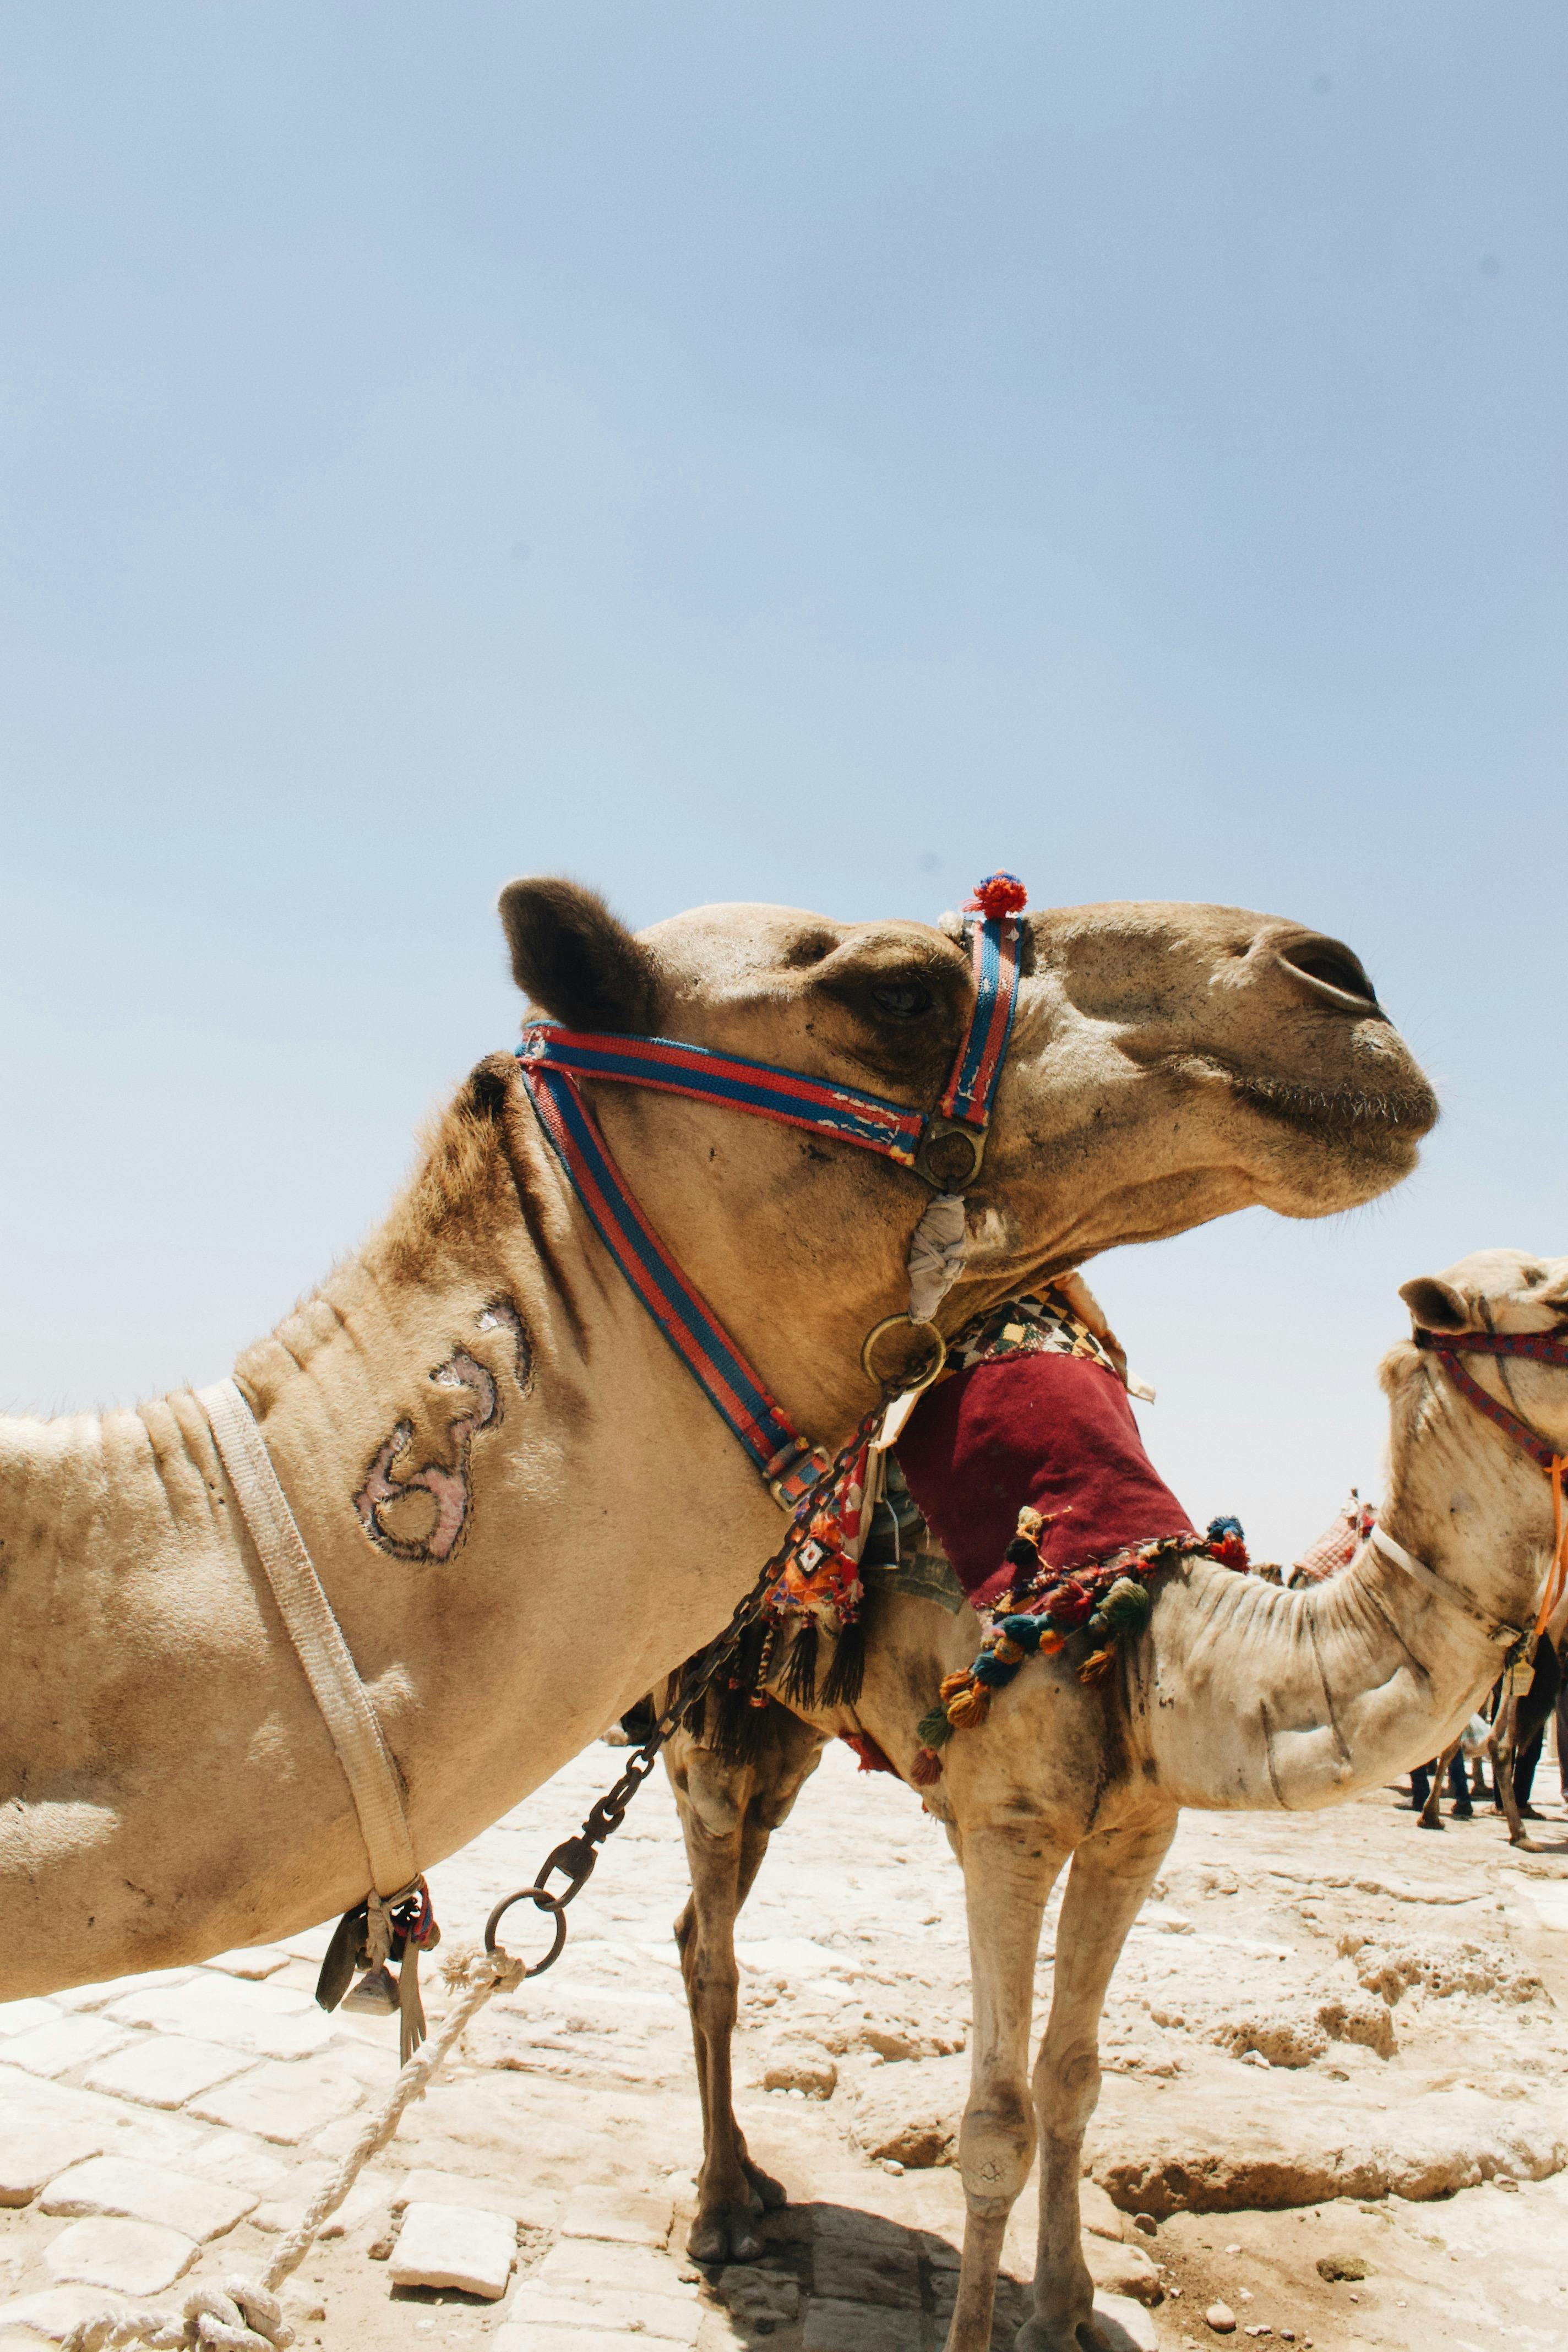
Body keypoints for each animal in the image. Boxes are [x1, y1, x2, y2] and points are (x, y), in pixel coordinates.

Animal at [663, 1251, 1568, 2352]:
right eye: (1559, 1305)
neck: (1133, 1632)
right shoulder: (1006, 1829)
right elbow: (997, 2118)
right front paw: (981, 2331)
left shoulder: (1133, 1833)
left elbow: (1073, 2079)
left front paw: (1061, 2314)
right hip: (702, 1708)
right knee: (715, 1952)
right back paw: (720, 2215)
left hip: (785, 1727)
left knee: (700, 1915)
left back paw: (755, 2178)